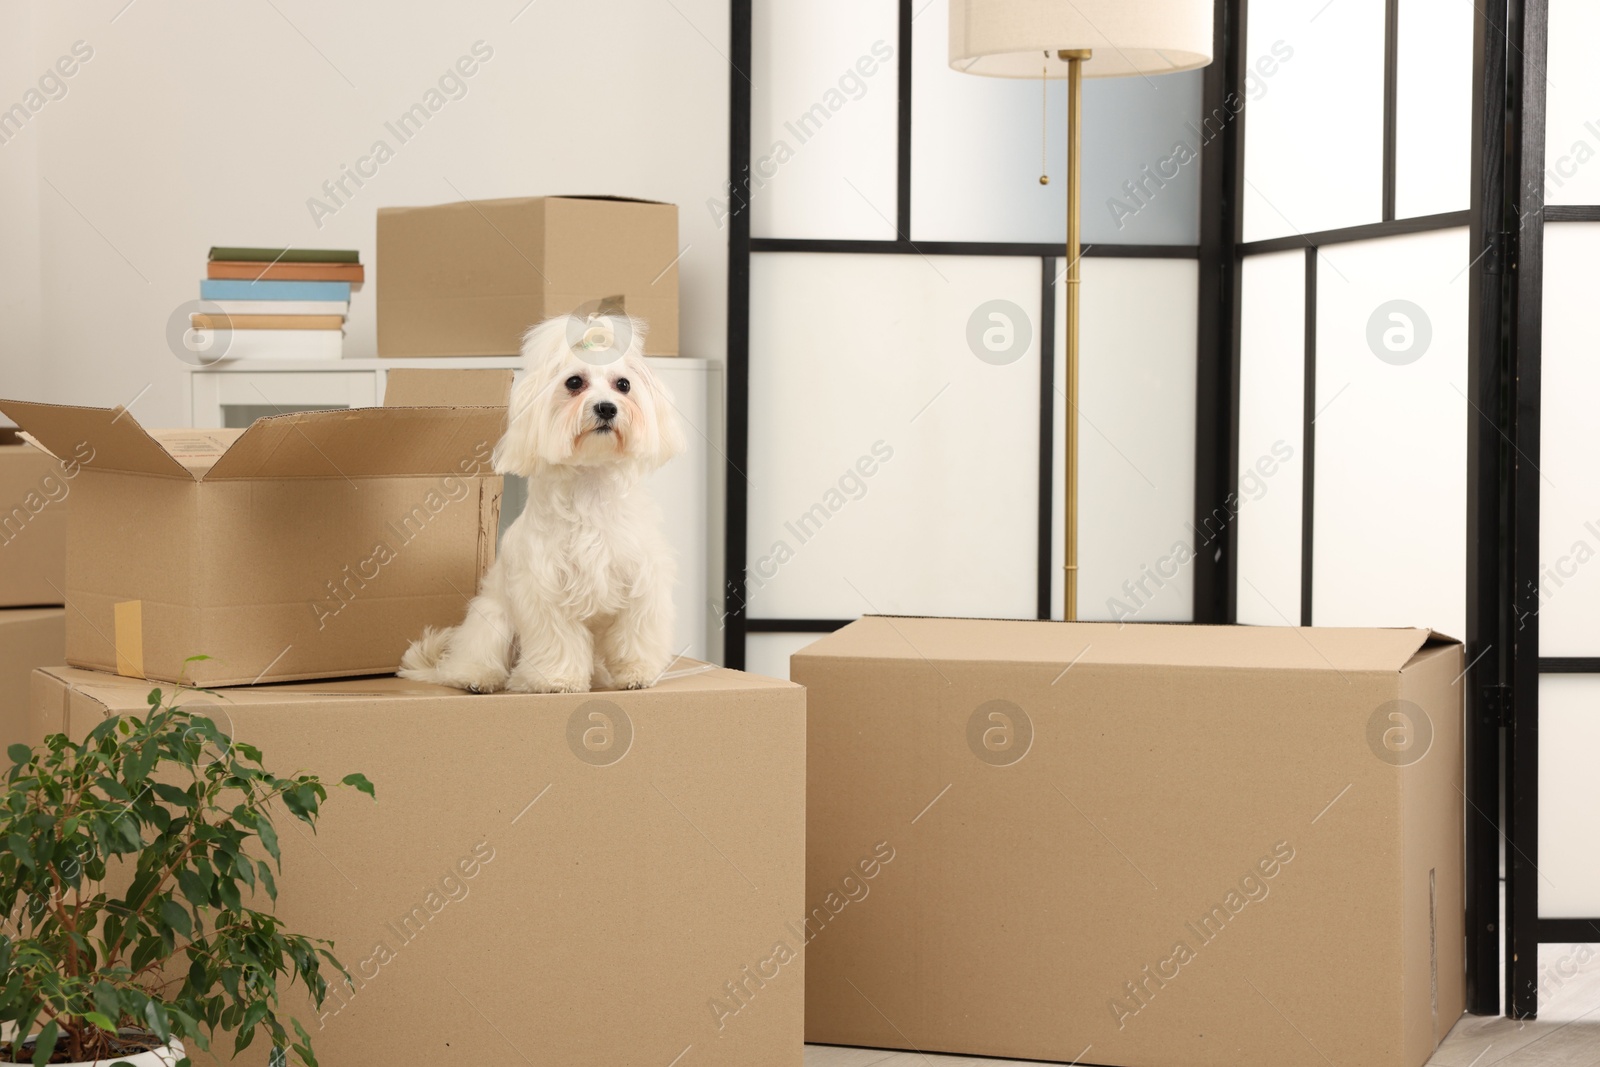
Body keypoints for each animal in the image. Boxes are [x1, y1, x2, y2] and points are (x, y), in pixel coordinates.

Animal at [398, 310, 681, 694]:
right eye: (574, 382)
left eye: (623, 385)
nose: (606, 408)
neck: (590, 485)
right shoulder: (545, 591)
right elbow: (559, 639)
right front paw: (559, 679)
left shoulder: (641, 581)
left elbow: (634, 633)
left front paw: (636, 673)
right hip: (491, 620)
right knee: (478, 656)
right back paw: (478, 677)